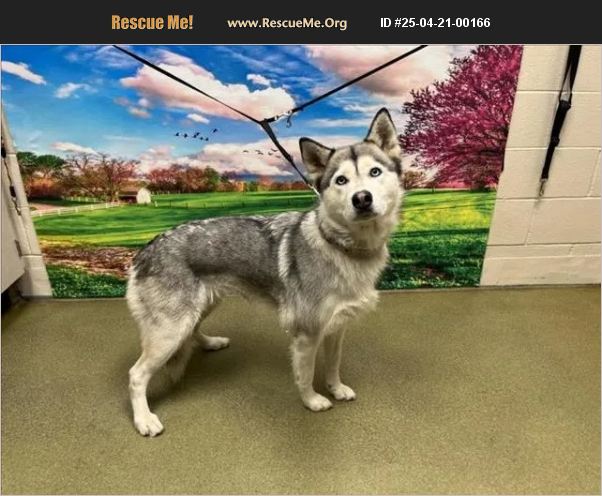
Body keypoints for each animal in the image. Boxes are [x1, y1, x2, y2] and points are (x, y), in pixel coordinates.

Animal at [126, 108, 404, 436]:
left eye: (375, 172)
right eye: (341, 180)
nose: (361, 199)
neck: (343, 247)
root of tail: (144, 251)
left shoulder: (337, 328)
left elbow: (333, 367)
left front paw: (337, 389)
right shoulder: (307, 334)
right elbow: (306, 375)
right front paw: (313, 401)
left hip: (200, 308)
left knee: (192, 332)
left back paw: (210, 343)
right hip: (170, 330)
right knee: (136, 375)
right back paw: (144, 420)